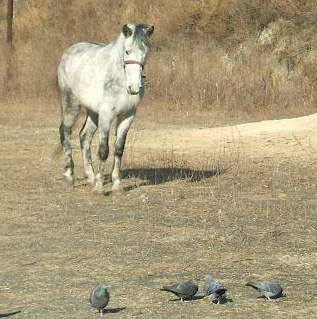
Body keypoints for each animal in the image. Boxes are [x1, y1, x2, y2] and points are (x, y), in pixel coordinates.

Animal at [58, 23, 156, 192]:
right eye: (127, 51)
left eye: (145, 53)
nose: (134, 88)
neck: (121, 79)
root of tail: (68, 52)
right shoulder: (106, 115)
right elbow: (104, 150)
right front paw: (99, 187)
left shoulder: (127, 116)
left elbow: (118, 149)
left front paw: (116, 185)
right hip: (71, 104)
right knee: (65, 132)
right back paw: (70, 176)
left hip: (92, 112)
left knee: (84, 136)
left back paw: (90, 176)